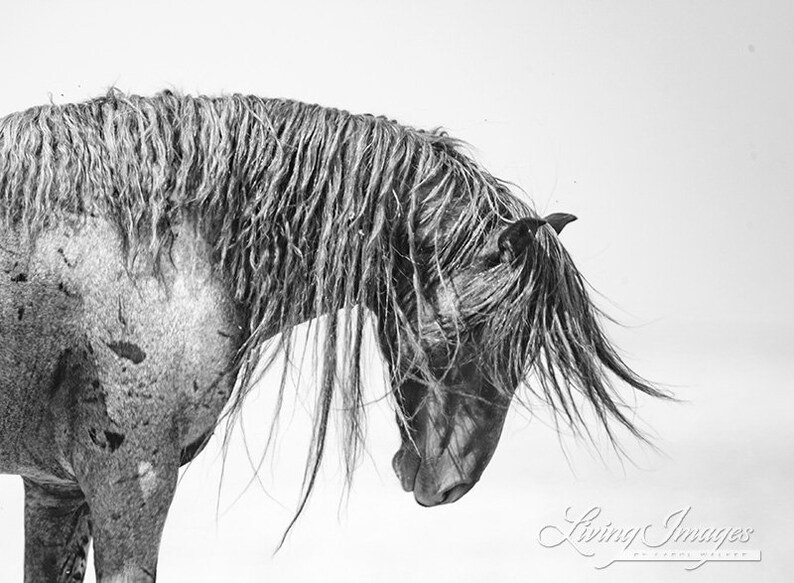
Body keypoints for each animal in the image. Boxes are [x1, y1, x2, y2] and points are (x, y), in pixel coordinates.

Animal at [0, 90, 665, 582]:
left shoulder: (56, 489)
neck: (158, 249)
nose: (450, 482)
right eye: (469, 330)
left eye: (525, 350)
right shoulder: (131, 480)